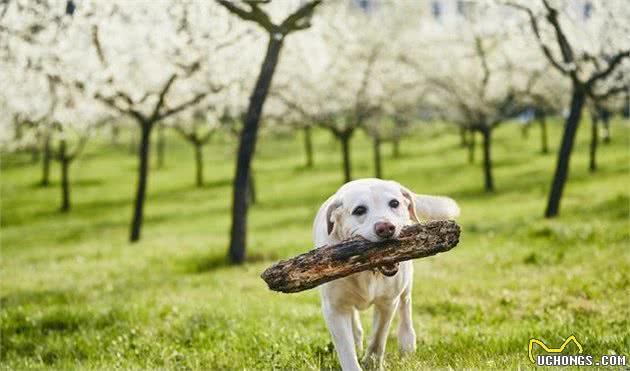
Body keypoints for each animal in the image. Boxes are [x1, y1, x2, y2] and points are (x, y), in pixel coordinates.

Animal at [314, 179, 462, 370]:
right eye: (359, 210)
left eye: (394, 203)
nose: (385, 228)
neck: (368, 270)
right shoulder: (334, 309)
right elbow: (347, 351)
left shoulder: (388, 301)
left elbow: (379, 337)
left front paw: (371, 363)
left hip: (406, 282)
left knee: (406, 306)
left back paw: (407, 344)